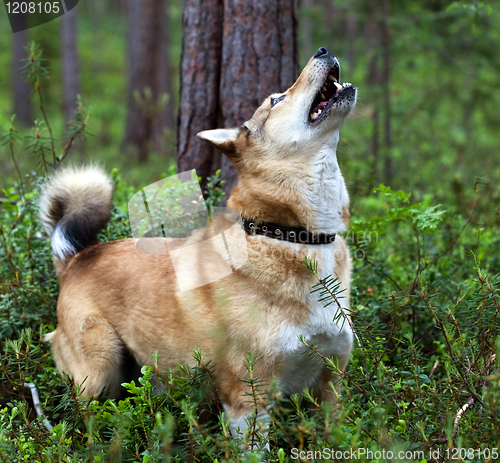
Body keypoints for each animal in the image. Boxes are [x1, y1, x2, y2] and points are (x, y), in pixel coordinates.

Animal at [41, 47, 358, 446]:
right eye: (275, 100)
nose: (322, 50)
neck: (286, 233)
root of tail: (76, 258)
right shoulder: (248, 399)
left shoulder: (331, 387)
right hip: (99, 371)